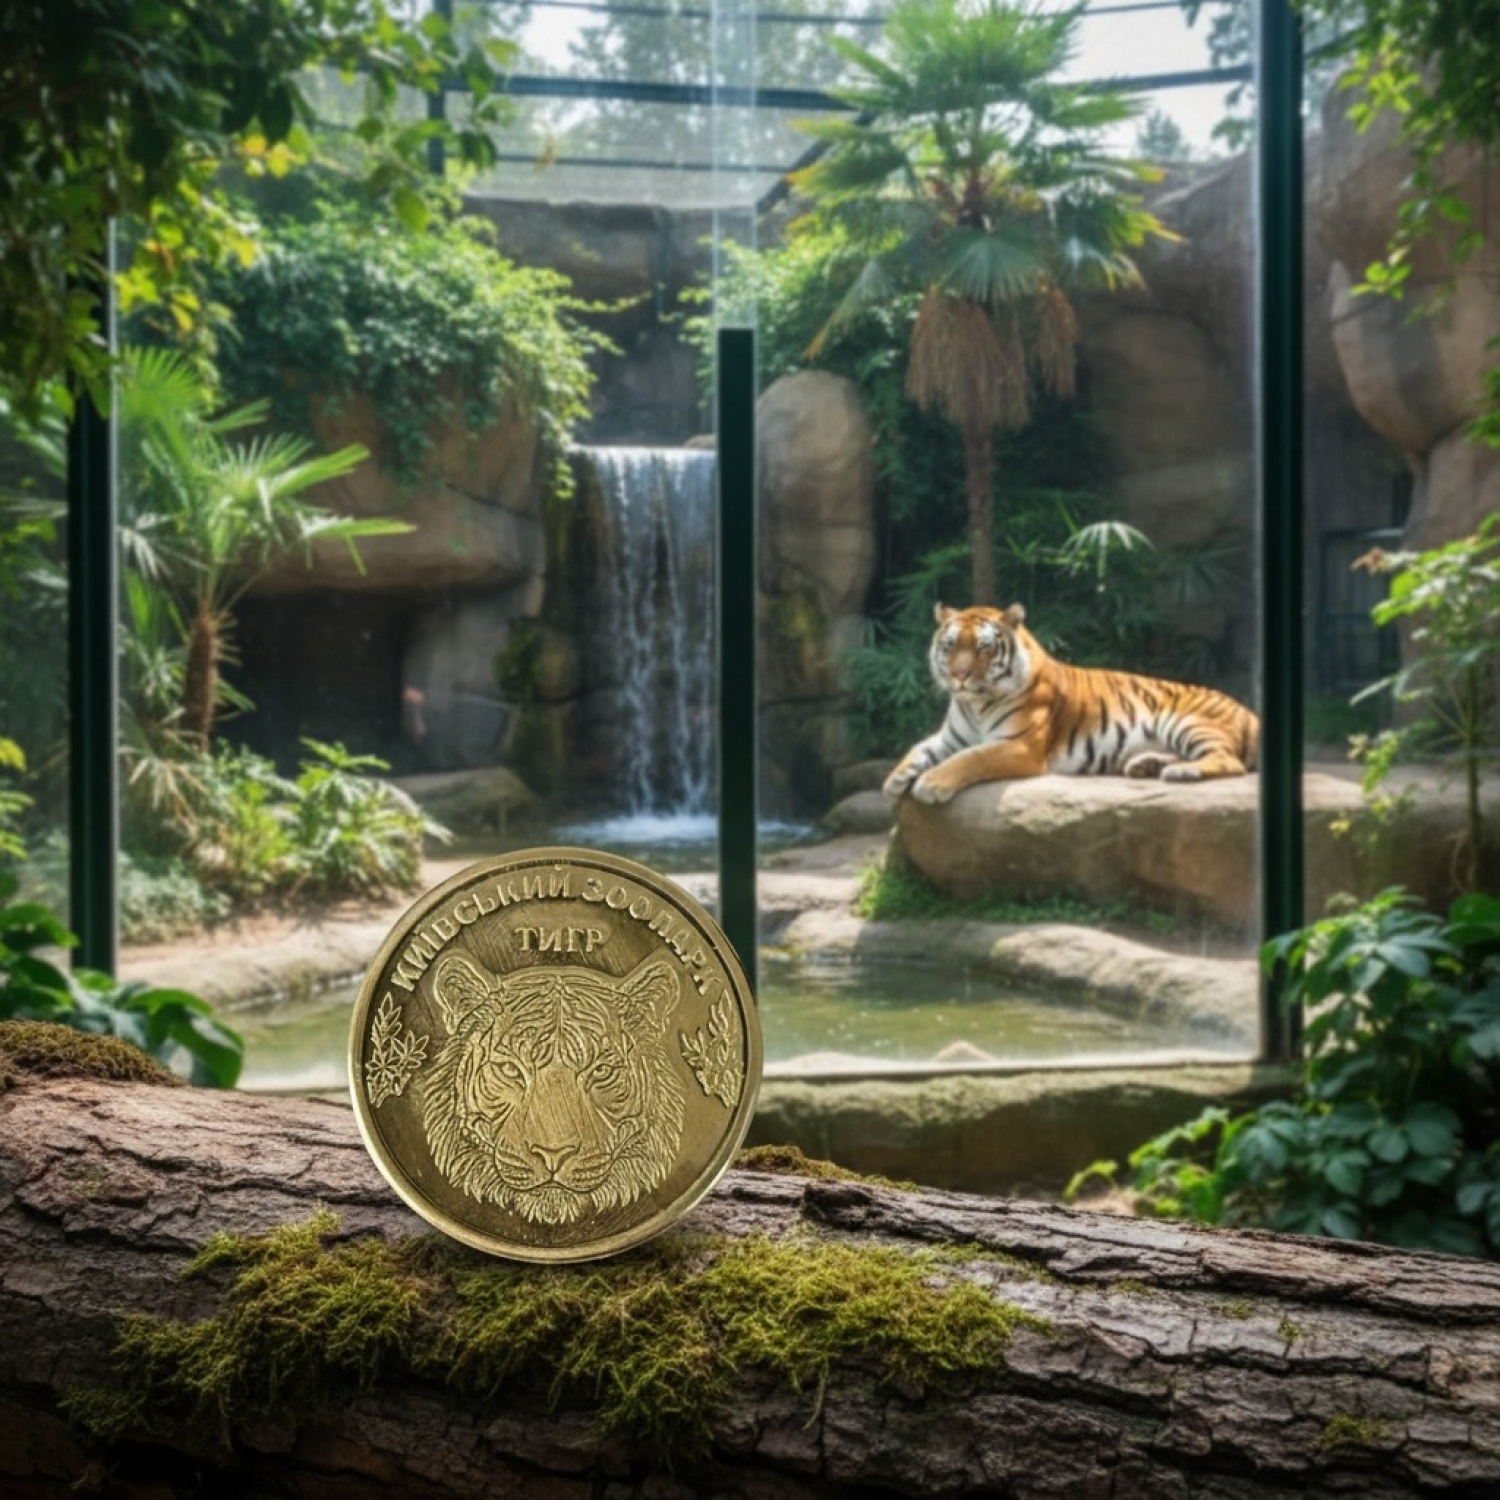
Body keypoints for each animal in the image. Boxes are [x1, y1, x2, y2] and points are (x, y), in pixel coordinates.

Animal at [883, 602, 1259, 804]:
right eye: (950, 646)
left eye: (983, 647)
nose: (959, 675)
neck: (973, 704)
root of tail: (1245, 708)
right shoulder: (950, 738)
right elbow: (918, 750)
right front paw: (895, 780)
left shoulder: (1019, 745)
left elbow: (970, 759)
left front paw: (930, 783)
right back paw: (1145, 765)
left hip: (1184, 722)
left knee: (1229, 760)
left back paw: (1180, 771)